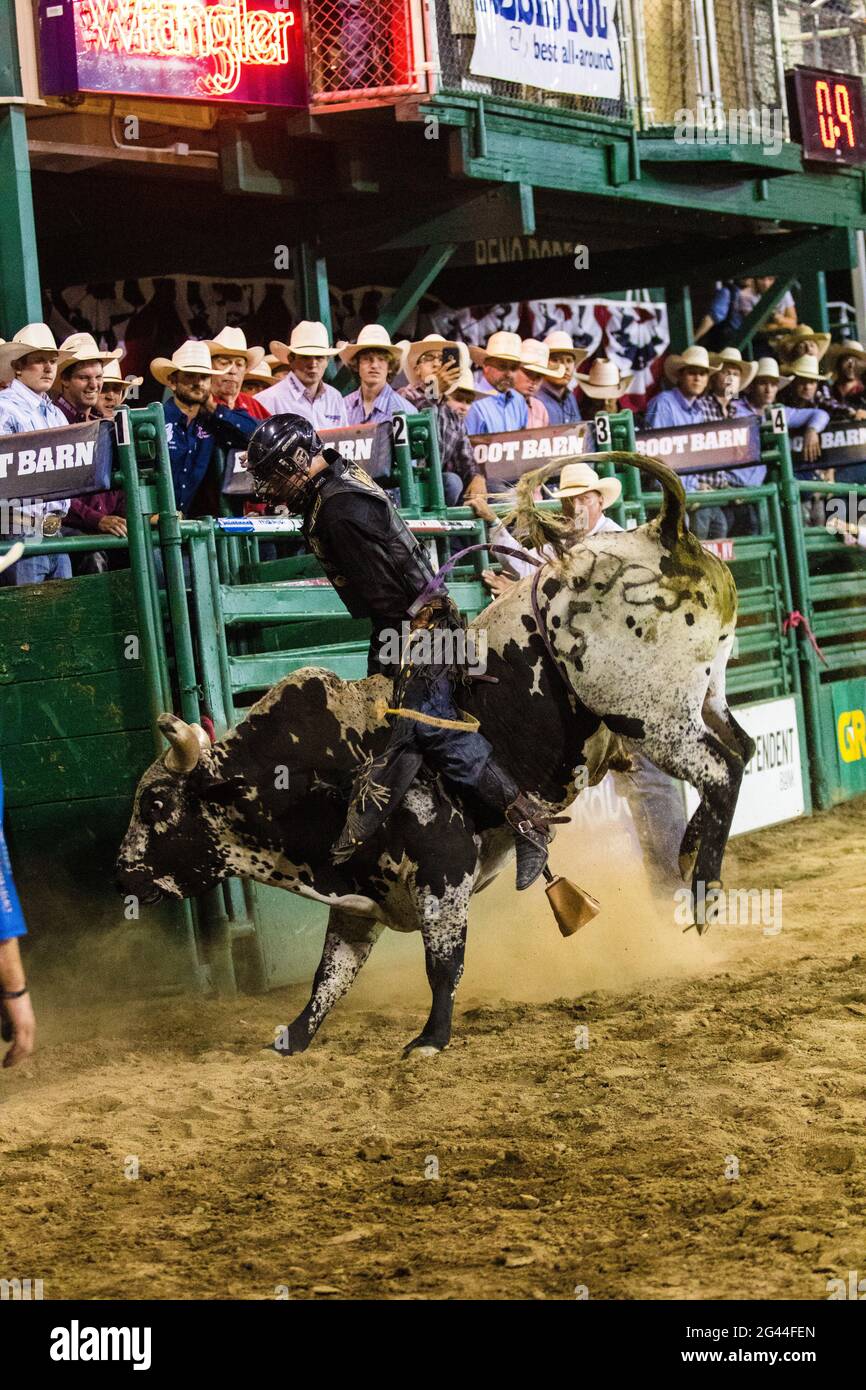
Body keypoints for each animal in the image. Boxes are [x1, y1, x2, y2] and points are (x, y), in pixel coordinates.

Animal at [118, 453, 756, 1050]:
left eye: (155, 805)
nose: (122, 872)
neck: (313, 770)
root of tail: (661, 532)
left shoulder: (443, 869)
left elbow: (442, 962)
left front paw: (430, 1038)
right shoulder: (359, 898)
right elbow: (330, 977)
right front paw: (292, 1039)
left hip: (649, 715)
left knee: (720, 770)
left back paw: (704, 890)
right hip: (704, 696)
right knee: (743, 749)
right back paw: (691, 852)